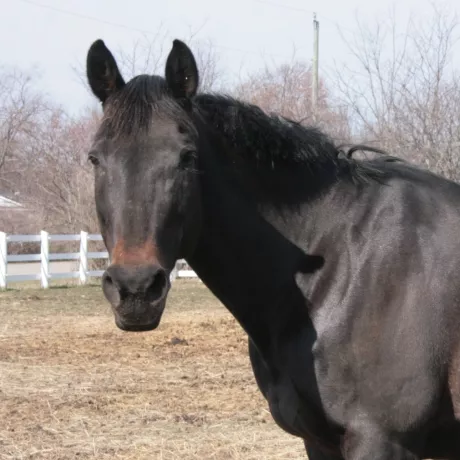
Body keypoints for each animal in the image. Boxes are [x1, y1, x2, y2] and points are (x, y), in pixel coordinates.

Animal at [84, 37, 460, 458]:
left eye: (186, 157)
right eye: (96, 158)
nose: (135, 289)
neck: (344, 264)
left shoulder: (381, 440)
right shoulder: (319, 440)